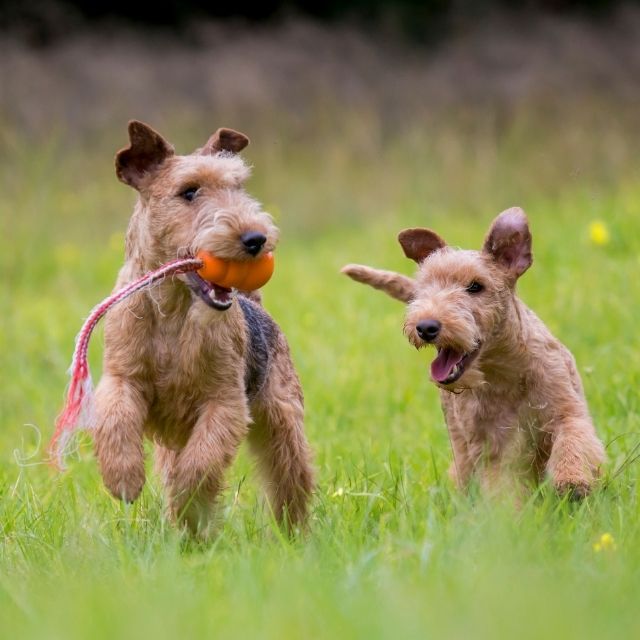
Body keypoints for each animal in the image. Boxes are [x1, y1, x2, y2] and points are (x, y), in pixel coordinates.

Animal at [92, 120, 316, 536]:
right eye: (189, 191)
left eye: (238, 186)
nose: (256, 239)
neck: (173, 311)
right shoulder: (121, 379)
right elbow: (116, 421)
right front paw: (124, 480)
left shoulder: (224, 402)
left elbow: (198, 468)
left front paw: (190, 507)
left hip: (282, 419)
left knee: (290, 480)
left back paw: (294, 535)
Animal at [342, 208, 604, 498]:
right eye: (425, 288)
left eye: (476, 286)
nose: (425, 327)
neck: (504, 372)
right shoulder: (492, 448)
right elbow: (502, 488)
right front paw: (509, 512)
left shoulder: (566, 411)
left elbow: (573, 441)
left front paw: (572, 483)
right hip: (460, 442)